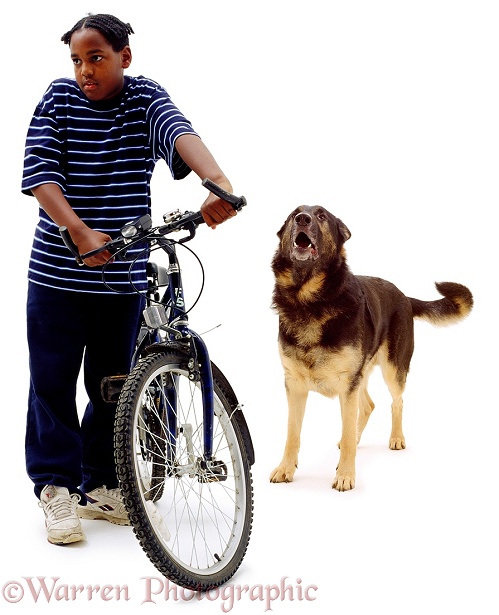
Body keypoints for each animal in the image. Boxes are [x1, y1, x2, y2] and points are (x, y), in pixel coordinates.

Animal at [270, 206, 472, 490]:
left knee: (396, 402)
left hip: (392, 370)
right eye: (293, 214)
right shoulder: (295, 385)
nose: (302, 219)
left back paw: (395, 438)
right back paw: (355, 438)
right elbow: (292, 433)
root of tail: (405, 297)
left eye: (321, 216)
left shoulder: (347, 384)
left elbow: (346, 428)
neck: (308, 300)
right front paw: (286, 468)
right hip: (361, 375)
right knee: (367, 406)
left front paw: (345, 475)